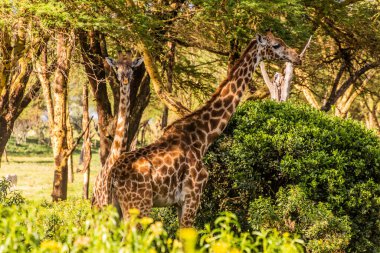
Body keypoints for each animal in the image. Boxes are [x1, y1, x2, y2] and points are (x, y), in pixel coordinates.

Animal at [93, 31, 302, 227]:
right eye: (276, 45)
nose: (297, 57)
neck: (202, 137)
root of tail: (112, 175)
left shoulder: (180, 202)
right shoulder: (192, 196)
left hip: (116, 207)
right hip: (138, 205)